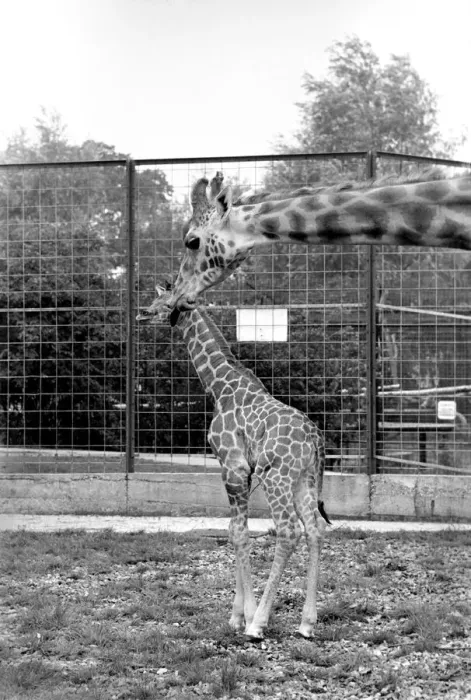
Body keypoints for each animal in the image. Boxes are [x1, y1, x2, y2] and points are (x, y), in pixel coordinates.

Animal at [138, 285, 330, 641]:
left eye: (164, 302)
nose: (143, 313)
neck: (220, 387)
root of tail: (316, 439)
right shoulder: (242, 471)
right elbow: (234, 530)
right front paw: (236, 616)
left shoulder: (233, 465)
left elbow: (239, 533)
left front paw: (246, 616)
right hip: (304, 479)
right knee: (314, 529)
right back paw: (307, 623)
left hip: (277, 477)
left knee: (288, 531)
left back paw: (259, 625)